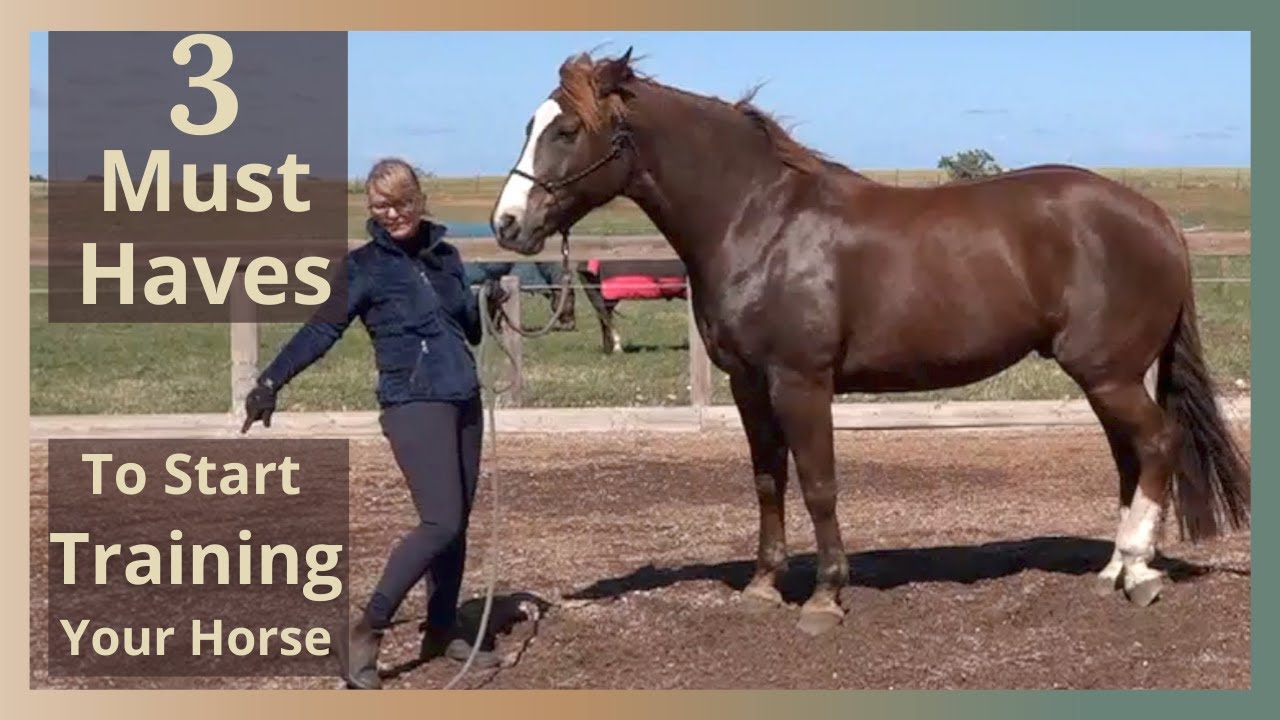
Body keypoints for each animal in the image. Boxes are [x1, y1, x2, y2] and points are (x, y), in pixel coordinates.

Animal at [487, 49, 1251, 635]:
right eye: (528, 125)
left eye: (567, 129)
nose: (506, 224)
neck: (760, 220)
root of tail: (1156, 217)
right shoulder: (748, 384)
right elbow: (768, 481)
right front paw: (764, 587)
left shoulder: (801, 380)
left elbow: (820, 483)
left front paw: (825, 598)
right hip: (1107, 375)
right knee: (1131, 456)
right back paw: (1116, 569)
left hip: (1108, 372)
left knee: (1156, 444)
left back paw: (1141, 575)